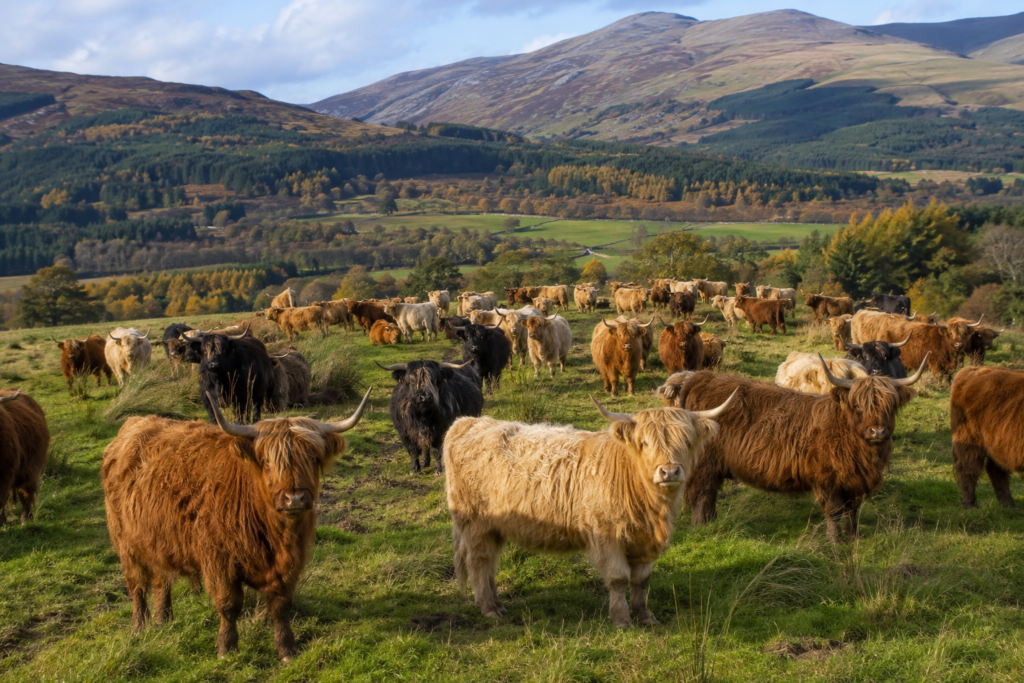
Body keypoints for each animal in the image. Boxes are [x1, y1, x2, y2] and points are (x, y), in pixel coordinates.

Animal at [102, 388, 370, 660]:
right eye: (268, 461)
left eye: (313, 458)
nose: (294, 498)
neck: (275, 534)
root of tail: (137, 422)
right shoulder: (219, 559)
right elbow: (229, 604)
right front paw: (226, 647)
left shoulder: (291, 562)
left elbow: (281, 605)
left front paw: (287, 648)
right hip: (126, 543)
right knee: (137, 586)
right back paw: (140, 627)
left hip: (158, 539)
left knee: (161, 579)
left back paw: (164, 618)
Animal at [442, 393, 735, 626]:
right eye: (645, 443)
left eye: (686, 442)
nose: (670, 471)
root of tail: (468, 422)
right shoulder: (607, 533)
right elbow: (618, 579)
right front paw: (621, 619)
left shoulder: (644, 539)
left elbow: (641, 580)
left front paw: (645, 616)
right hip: (475, 524)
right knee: (478, 561)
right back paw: (488, 608)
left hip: (495, 527)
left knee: (490, 562)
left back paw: (498, 603)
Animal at [655, 355, 927, 542]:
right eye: (858, 405)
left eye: (891, 405)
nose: (877, 432)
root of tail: (699, 378)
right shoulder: (827, 478)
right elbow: (835, 510)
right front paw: (835, 541)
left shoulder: (855, 479)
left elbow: (853, 510)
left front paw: (853, 537)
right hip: (705, 464)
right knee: (701, 494)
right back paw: (703, 526)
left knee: (709, 493)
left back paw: (712, 522)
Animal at [950, 366, 1024, 509]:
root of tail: (974, 369)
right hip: (969, 438)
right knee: (968, 468)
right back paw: (970, 505)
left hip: (998, 443)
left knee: (995, 470)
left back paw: (1008, 505)